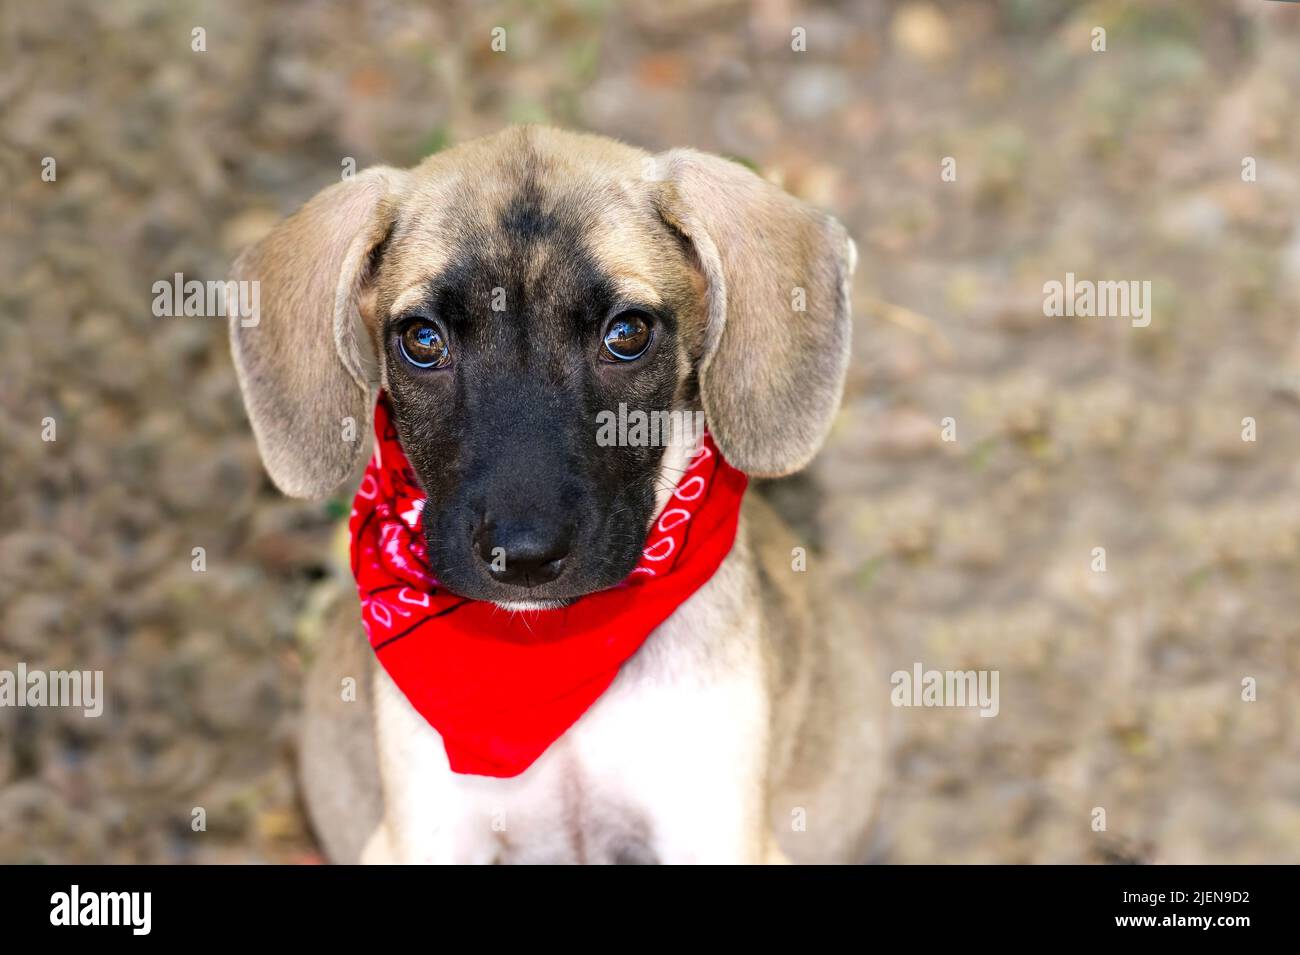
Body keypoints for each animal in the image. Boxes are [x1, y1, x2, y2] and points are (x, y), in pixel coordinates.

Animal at [228, 127, 889, 867]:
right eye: (422, 340)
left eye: (628, 333)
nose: (522, 556)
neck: (551, 660)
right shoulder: (426, 834)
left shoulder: (713, 826)